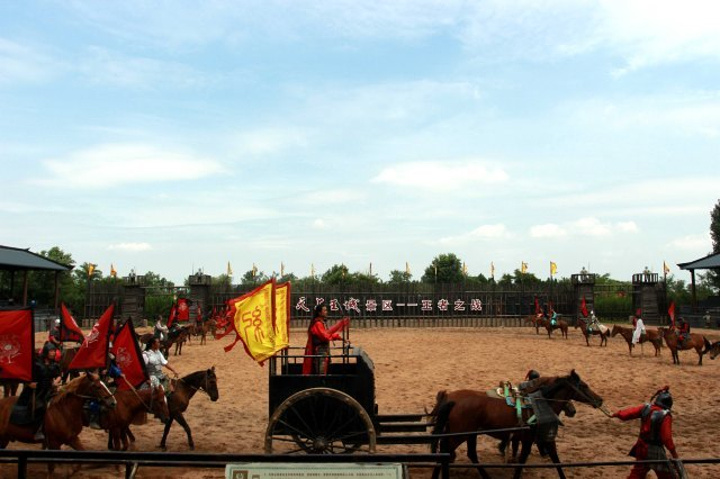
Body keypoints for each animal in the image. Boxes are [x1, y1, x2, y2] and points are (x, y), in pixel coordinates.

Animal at [434, 372, 600, 479]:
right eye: (584, 386)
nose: (600, 400)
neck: (539, 404)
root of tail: (450, 397)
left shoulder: (545, 438)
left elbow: (555, 459)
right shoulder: (528, 439)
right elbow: (522, 459)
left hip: (469, 433)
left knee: (470, 454)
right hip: (460, 434)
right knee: (445, 452)